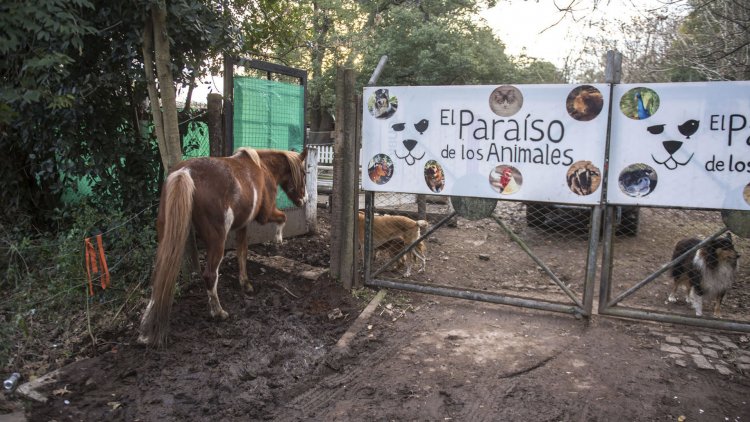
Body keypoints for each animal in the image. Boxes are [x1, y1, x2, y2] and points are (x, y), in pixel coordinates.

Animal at [140, 148, 306, 346]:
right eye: (305, 173)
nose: (304, 200)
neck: (263, 168)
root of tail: (185, 172)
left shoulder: (243, 225)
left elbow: (242, 253)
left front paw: (245, 283)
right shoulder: (265, 215)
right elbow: (283, 217)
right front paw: (278, 240)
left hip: (165, 235)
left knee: (159, 277)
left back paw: (146, 329)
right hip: (217, 240)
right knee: (210, 275)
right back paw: (219, 312)